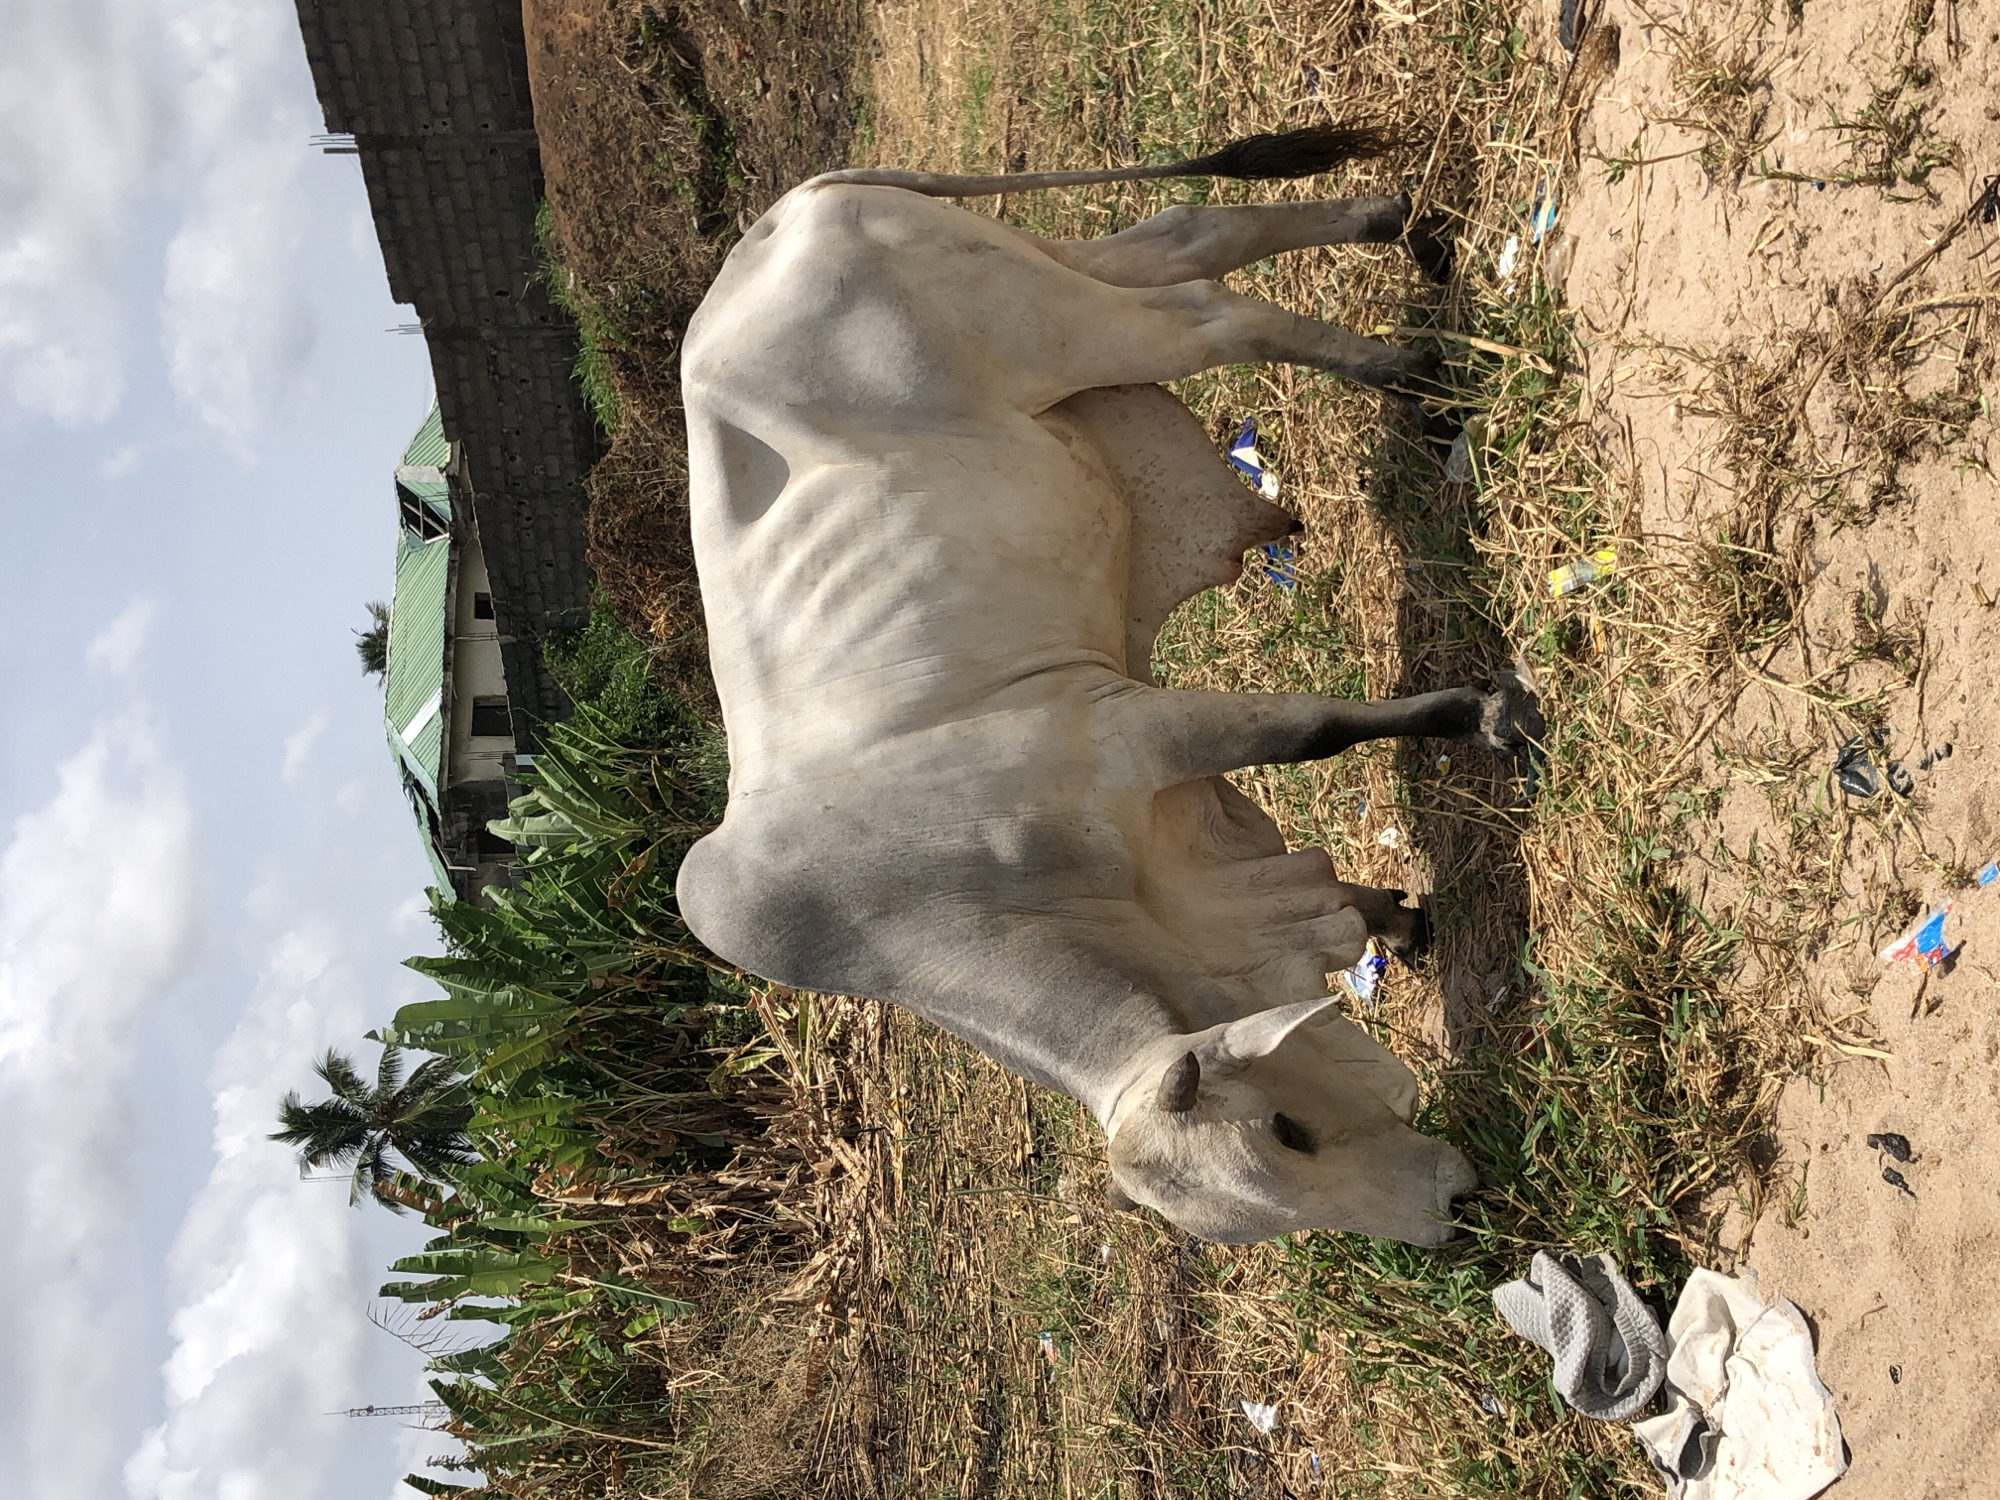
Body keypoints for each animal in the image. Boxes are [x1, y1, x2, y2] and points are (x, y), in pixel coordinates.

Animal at [673, 128, 1543, 1246]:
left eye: (1287, 1129)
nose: (1450, 1218)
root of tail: (780, 219)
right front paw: (1393, 920)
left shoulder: (1121, 731)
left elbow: (1310, 730)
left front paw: (1489, 714)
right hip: (1049, 278)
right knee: (1188, 236)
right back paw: (1391, 226)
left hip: (1060, 328)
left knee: (1210, 313)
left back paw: (1416, 375)